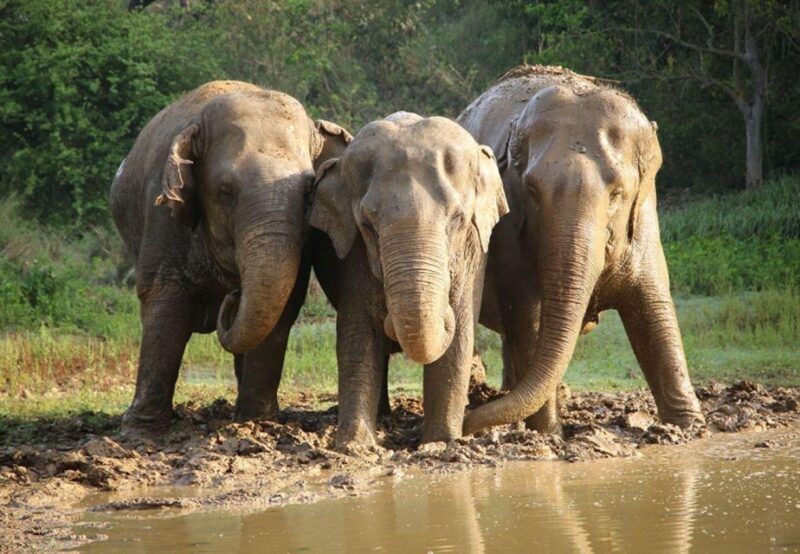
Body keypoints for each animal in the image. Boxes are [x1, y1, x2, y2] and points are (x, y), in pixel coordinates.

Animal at [111, 80, 351, 434]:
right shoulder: (163, 215)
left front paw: (256, 421)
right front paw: (139, 429)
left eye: (310, 190)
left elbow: (285, 302)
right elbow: (164, 299)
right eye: (225, 191)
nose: (234, 295)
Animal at [309, 112, 508, 446]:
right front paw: (355, 445)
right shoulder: (353, 254)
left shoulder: (475, 250)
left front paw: (442, 442)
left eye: (458, 219)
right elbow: (357, 334)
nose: (389, 316)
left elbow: (460, 337)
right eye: (366, 224)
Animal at [457, 65, 704, 435]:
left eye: (618, 194)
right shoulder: (511, 236)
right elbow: (529, 321)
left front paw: (691, 427)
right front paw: (549, 433)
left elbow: (655, 313)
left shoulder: (644, 222)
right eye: (531, 191)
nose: (467, 424)